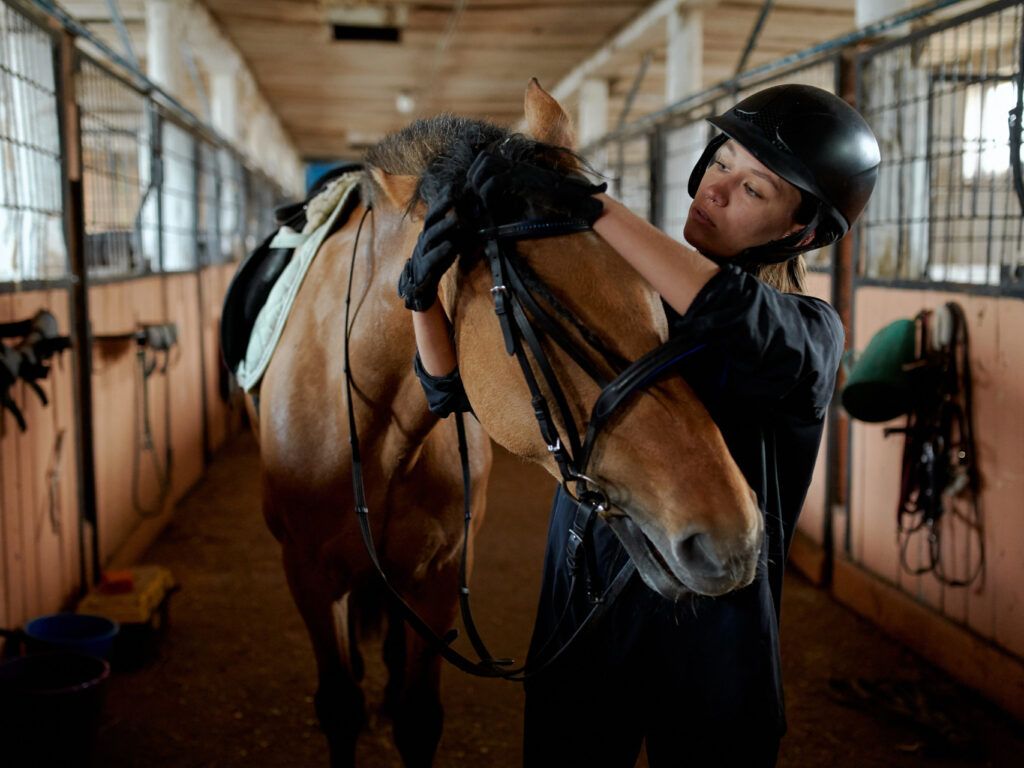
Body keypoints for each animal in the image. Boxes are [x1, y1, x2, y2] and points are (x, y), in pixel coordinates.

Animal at [247, 81, 761, 765]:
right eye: (528, 309)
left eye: (654, 287)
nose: (732, 536)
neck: (377, 426)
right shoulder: (306, 576)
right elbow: (340, 708)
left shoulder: (439, 574)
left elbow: (417, 716)